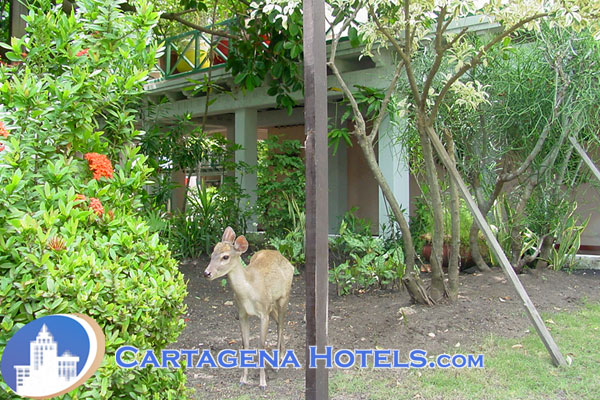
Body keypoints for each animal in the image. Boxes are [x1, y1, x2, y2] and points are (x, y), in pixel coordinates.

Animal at [203, 227, 294, 390]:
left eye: (225, 257)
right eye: (212, 253)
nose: (207, 273)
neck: (249, 291)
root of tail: (283, 257)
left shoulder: (263, 313)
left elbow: (261, 345)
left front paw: (263, 383)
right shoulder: (242, 313)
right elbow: (245, 344)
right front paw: (243, 379)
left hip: (284, 296)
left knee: (281, 324)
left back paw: (278, 363)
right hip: (271, 304)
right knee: (279, 322)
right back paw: (281, 355)